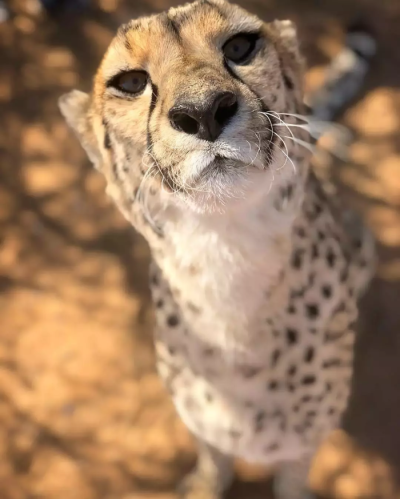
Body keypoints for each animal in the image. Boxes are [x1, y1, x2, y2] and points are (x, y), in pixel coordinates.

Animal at [58, 1, 376, 498]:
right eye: (130, 82)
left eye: (241, 47)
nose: (203, 112)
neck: (226, 257)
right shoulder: (202, 424)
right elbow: (213, 459)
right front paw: (205, 484)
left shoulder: (303, 443)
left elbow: (292, 479)